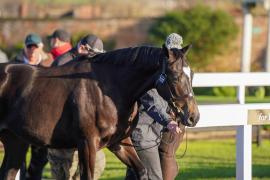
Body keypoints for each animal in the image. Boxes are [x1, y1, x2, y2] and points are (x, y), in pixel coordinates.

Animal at [0, 44, 198, 179]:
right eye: (175, 77)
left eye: (192, 74)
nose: (193, 116)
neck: (107, 90)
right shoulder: (87, 144)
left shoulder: (119, 143)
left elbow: (142, 170)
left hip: (16, 142)